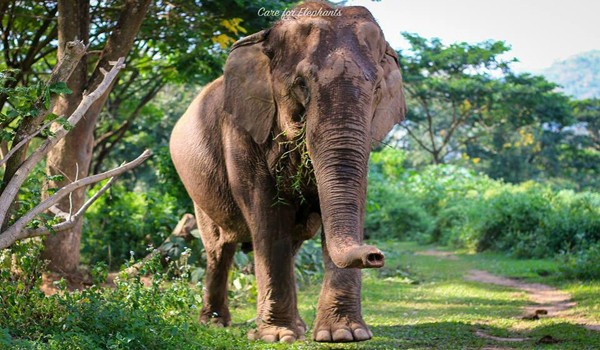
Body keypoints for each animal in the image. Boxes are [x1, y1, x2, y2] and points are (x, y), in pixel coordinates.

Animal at [169, 0, 408, 344]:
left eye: (376, 88)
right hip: (197, 190)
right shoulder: (241, 131)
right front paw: (277, 337)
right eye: (301, 85)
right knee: (219, 248)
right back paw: (214, 324)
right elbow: (268, 218)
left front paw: (344, 334)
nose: (374, 255)